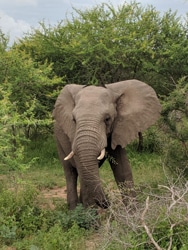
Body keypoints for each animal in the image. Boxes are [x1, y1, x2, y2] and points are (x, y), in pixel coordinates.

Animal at [53, 79, 162, 209]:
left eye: (107, 119)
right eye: (74, 120)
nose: (106, 203)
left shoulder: (119, 128)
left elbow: (123, 170)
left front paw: (134, 213)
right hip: (58, 140)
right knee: (71, 173)